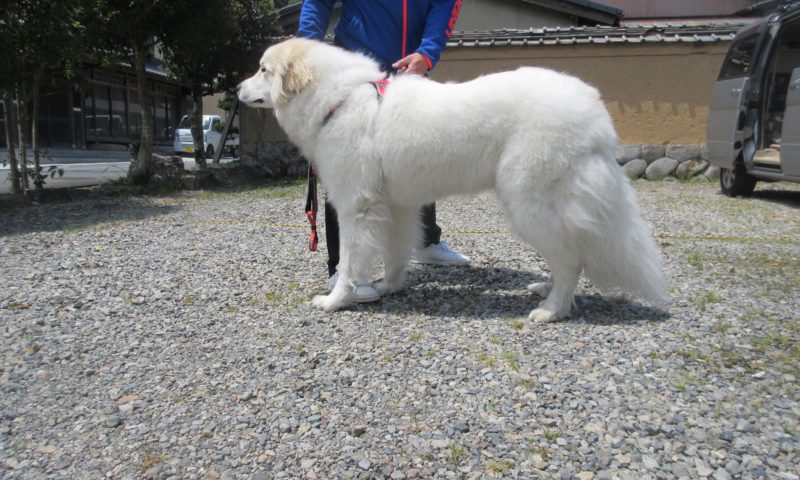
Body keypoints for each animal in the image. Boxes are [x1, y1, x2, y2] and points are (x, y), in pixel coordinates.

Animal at [238, 38, 664, 322]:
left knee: (570, 260)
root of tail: (594, 112)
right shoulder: (395, 205)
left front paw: (336, 300)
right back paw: (546, 291)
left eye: (263, 69)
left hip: (529, 204)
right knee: (569, 257)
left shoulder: (355, 205)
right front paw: (388, 286)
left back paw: (550, 310)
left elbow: (349, 259)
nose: (237, 88)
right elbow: (395, 249)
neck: (338, 99)